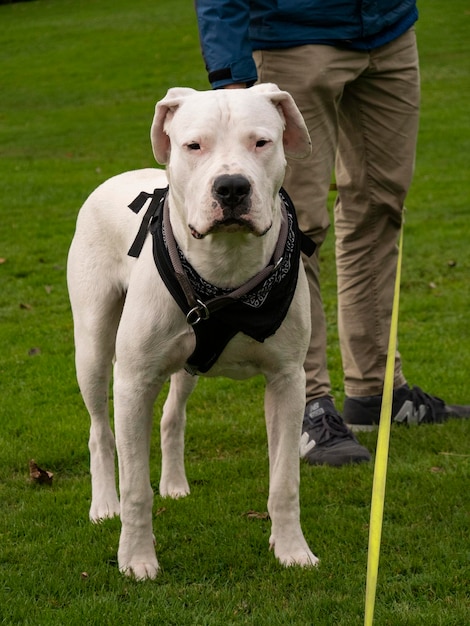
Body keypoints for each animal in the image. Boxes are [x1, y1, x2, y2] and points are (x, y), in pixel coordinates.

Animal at [67, 81, 320, 576]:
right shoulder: (133, 381)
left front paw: (292, 550)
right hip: (92, 347)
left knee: (172, 414)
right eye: (193, 146)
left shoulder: (287, 380)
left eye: (261, 142)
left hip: (187, 365)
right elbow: (136, 488)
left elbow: (285, 480)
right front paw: (137, 559)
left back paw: (175, 484)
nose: (232, 187)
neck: (225, 269)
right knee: (100, 431)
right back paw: (103, 504)